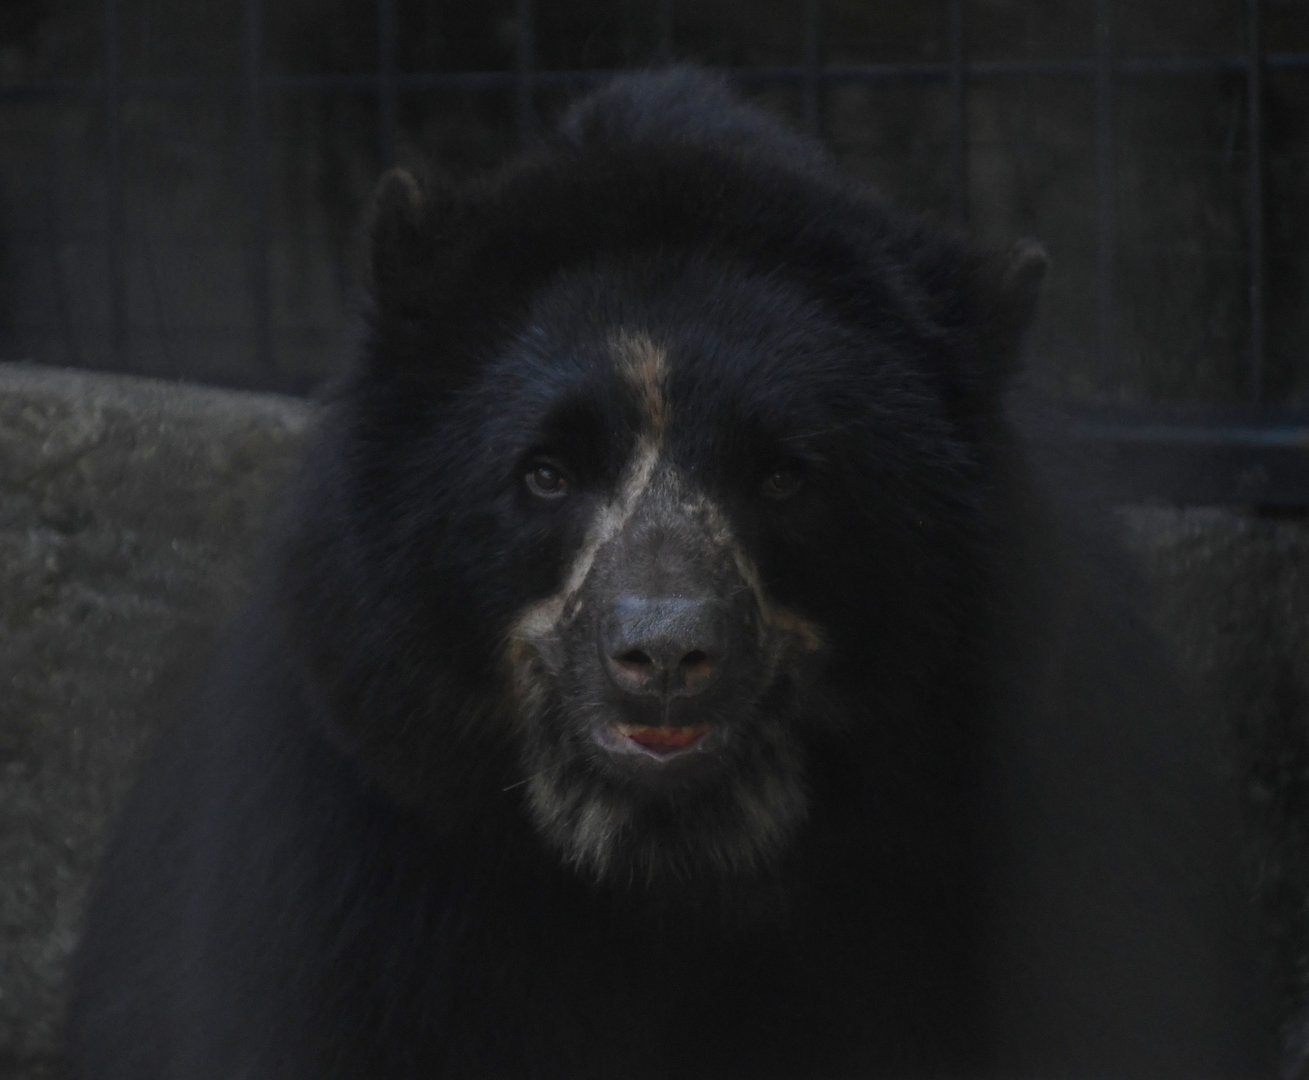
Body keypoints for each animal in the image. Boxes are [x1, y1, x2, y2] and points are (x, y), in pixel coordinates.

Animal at [67, 68, 1276, 1078]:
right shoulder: (360, 856)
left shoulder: (1025, 834)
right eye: (545, 473)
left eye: (785, 477)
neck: (667, 862)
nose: (662, 653)